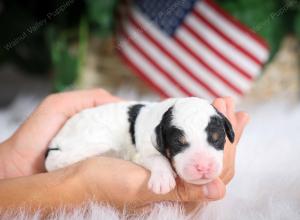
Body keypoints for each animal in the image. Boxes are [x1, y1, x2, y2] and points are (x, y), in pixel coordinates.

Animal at [45, 97, 234, 193]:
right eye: (178, 143)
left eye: (217, 138)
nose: (203, 167)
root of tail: (54, 142)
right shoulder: (142, 152)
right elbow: (156, 158)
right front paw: (163, 179)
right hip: (89, 140)